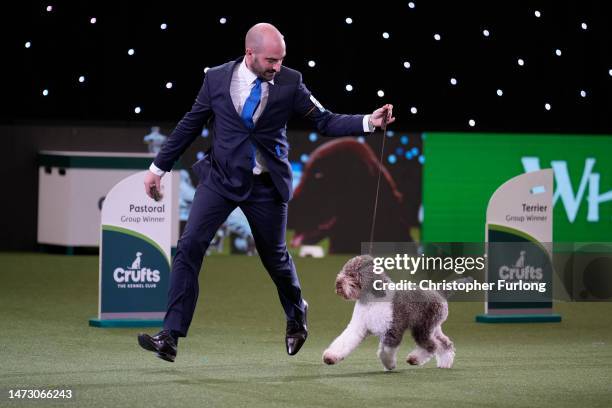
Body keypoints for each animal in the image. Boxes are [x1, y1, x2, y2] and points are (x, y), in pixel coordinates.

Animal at [322, 256, 456, 372]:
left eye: (352, 275)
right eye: (344, 271)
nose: (338, 283)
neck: (372, 300)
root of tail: (440, 293)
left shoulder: (392, 330)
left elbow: (385, 351)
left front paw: (389, 365)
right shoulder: (357, 327)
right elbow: (344, 340)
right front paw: (331, 356)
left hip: (422, 327)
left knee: (432, 345)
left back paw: (414, 359)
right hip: (433, 327)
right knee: (445, 343)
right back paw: (445, 363)